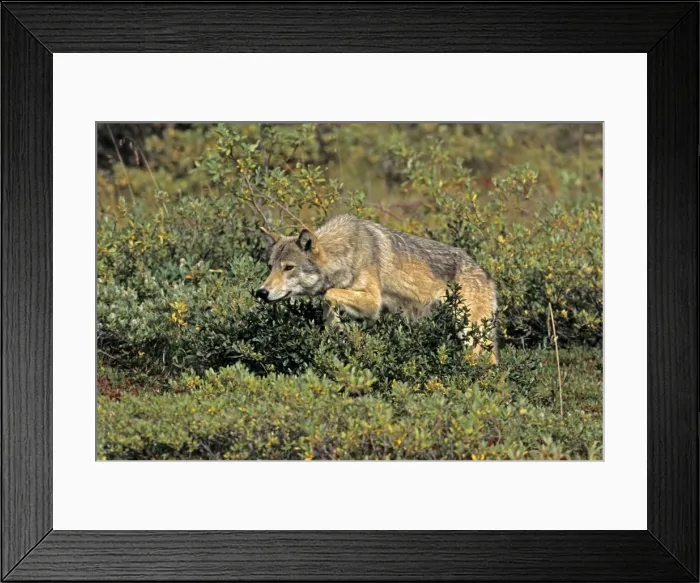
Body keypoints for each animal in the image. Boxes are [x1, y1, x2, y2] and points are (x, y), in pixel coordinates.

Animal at [256, 213, 498, 363]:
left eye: (288, 267)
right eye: (270, 267)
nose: (261, 293)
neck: (347, 253)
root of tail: (487, 276)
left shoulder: (373, 303)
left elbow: (328, 293)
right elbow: (328, 301)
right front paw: (334, 329)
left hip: (471, 336)